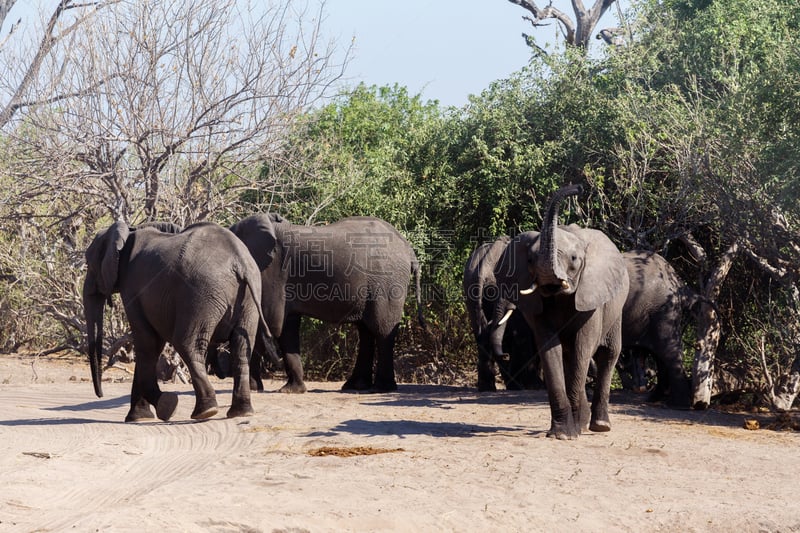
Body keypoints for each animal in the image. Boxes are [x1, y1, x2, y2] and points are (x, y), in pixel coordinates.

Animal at [84, 219, 266, 420]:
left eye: (88, 263)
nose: (100, 395)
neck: (127, 234)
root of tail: (239, 262)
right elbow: (153, 346)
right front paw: (139, 417)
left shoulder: (132, 288)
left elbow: (148, 343)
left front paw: (166, 407)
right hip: (248, 298)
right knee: (241, 347)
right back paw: (241, 413)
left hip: (201, 293)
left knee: (187, 344)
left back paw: (205, 412)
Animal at [228, 211, 422, 390]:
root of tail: (409, 250)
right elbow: (286, 327)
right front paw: (293, 390)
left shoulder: (272, 271)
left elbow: (270, 323)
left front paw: (254, 388)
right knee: (365, 331)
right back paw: (355, 386)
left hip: (386, 282)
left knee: (382, 330)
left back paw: (381, 388)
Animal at [494, 185, 632, 438]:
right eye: (530, 259)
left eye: (575, 259)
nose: (577, 188)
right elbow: (550, 349)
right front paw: (562, 434)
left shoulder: (591, 295)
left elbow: (584, 345)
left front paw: (571, 432)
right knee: (570, 357)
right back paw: (582, 422)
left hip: (617, 304)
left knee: (607, 353)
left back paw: (599, 425)